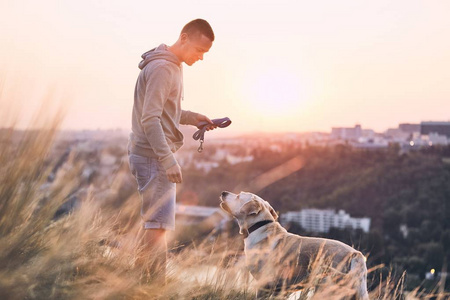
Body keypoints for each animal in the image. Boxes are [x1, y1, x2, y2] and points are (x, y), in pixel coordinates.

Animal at [219, 191, 370, 298]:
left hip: (325, 286)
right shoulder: (281, 289)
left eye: (238, 195)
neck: (259, 227)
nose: (224, 192)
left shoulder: (264, 284)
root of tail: (355, 253)